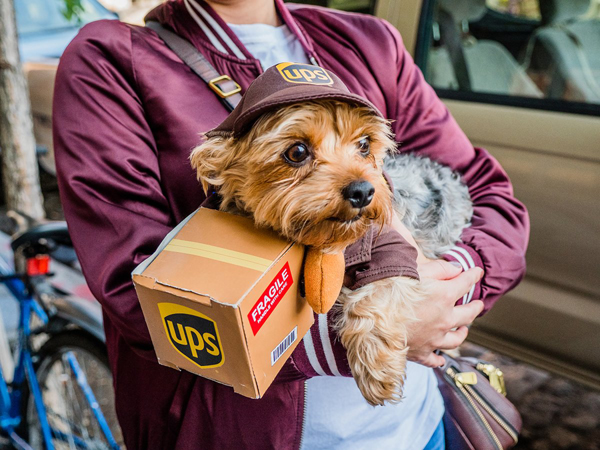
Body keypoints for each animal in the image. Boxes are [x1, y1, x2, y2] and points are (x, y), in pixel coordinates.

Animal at [190, 97, 472, 404]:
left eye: (364, 144)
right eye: (297, 152)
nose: (363, 191)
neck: (328, 243)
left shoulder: (393, 246)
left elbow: (379, 289)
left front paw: (377, 367)